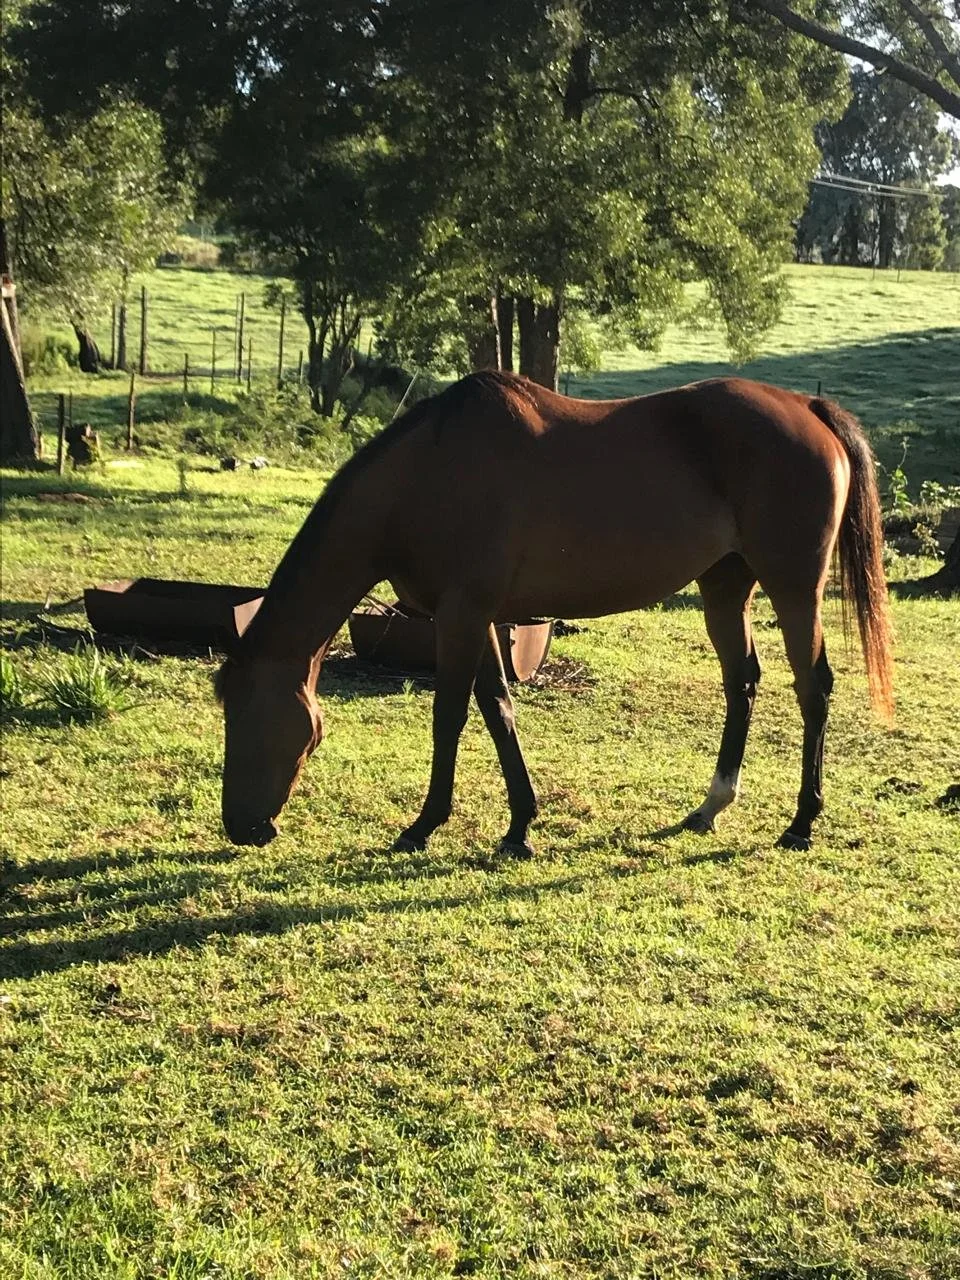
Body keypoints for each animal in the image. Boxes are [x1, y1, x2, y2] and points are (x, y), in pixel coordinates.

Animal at [215, 371, 892, 855]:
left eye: (244, 713)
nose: (241, 828)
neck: (425, 474)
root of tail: (806, 406)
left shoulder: (460, 615)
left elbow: (449, 717)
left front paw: (423, 826)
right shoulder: (481, 618)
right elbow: (498, 709)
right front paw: (520, 827)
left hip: (793, 588)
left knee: (814, 688)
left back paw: (802, 822)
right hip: (725, 587)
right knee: (742, 682)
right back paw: (709, 807)